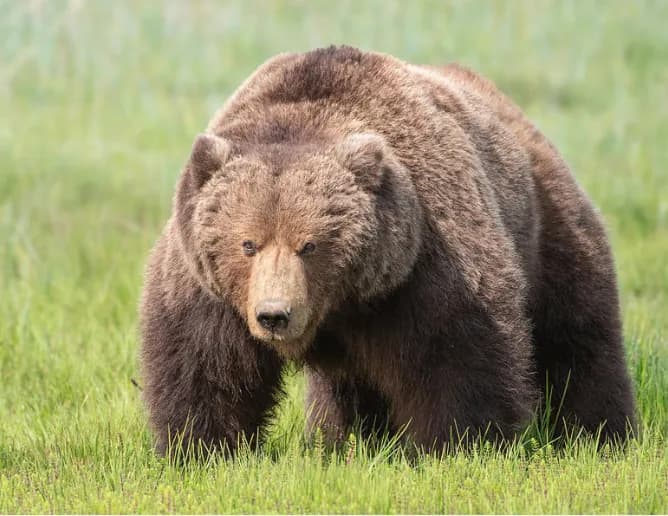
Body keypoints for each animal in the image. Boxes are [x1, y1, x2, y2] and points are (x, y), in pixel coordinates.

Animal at [140, 46, 636, 456]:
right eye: (247, 244)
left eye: (310, 244)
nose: (274, 315)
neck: (338, 307)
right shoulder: (207, 289)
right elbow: (202, 366)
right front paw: (201, 449)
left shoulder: (423, 266)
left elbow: (457, 352)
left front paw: (458, 445)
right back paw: (344, 439)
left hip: (547, 225)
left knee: (577, 336)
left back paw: (598, 434)